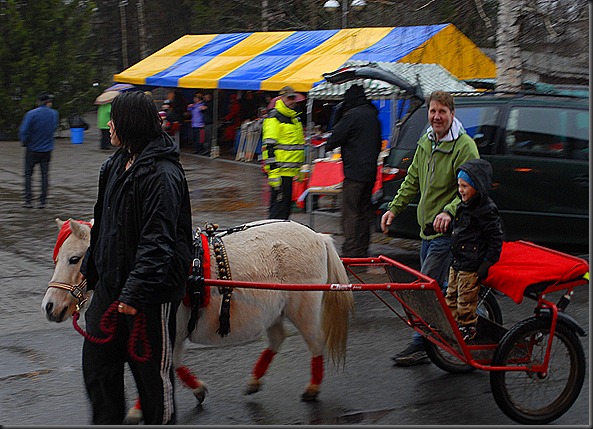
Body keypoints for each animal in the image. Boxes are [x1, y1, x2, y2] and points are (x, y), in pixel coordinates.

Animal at [44, 217, 356, 422]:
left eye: (74, 259)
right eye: (58, 258)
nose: (49, 306)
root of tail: (318, 237)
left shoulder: (170, 330)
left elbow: (162, 368)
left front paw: (138, 408)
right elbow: (173, 365)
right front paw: (197, 389)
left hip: (302, 307)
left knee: (315, 342)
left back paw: (312, 388)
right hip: (274, 310)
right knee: (277, 338)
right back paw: (255, 380)